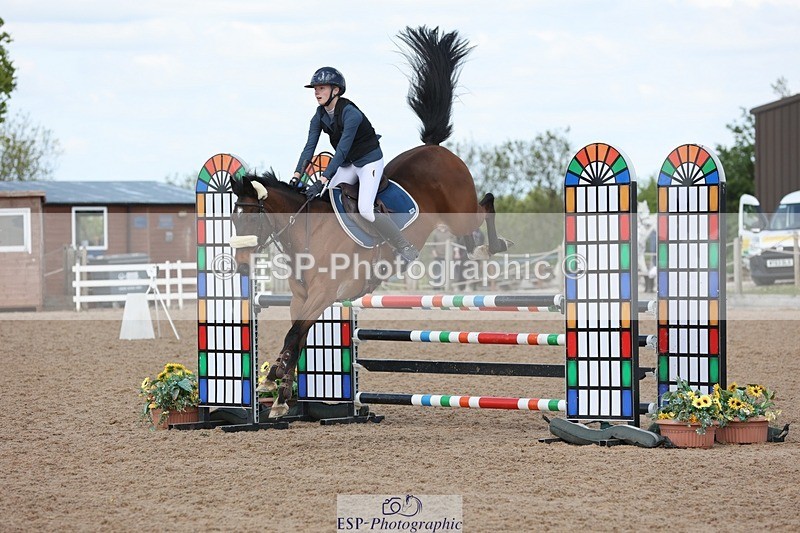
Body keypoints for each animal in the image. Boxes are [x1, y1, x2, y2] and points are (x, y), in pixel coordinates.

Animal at [230, 26, 512, 418]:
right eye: (232, 219)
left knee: (485, 204)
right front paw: (282, 399)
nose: (241, 267)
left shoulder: (323, 294)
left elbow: (293, 335)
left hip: (459, 209)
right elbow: (297, 340)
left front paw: (271, 382)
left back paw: (494, 245)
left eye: (252, 221)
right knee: (472, 226)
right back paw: (478, 248)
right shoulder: (301, 299)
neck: (306, 233)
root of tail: (434, 146)